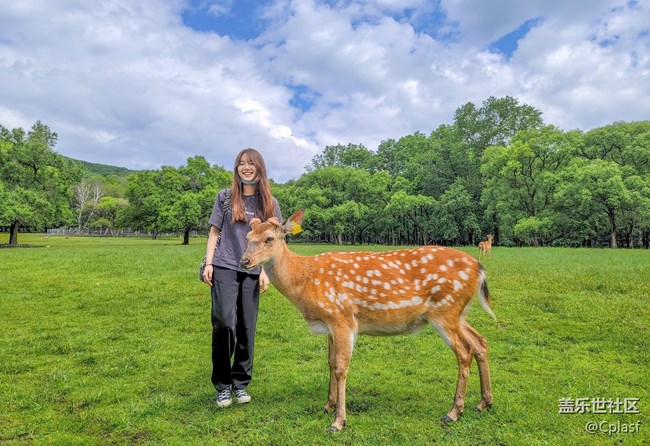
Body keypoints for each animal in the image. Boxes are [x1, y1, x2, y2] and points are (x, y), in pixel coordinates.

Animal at [240, 211, 494, 434]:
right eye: (248, 237)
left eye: (269, 238)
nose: (244, 261)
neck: (305, 281)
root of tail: (479, 269)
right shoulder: (330, 325)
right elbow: (330, 362)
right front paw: (328, 405)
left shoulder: (341, 317)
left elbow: (341, 368)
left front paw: (338, 421)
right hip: (458, 314)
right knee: (480, 342)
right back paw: (484, 403)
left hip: (445, 310)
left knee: (464, 352)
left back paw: (454, 412)